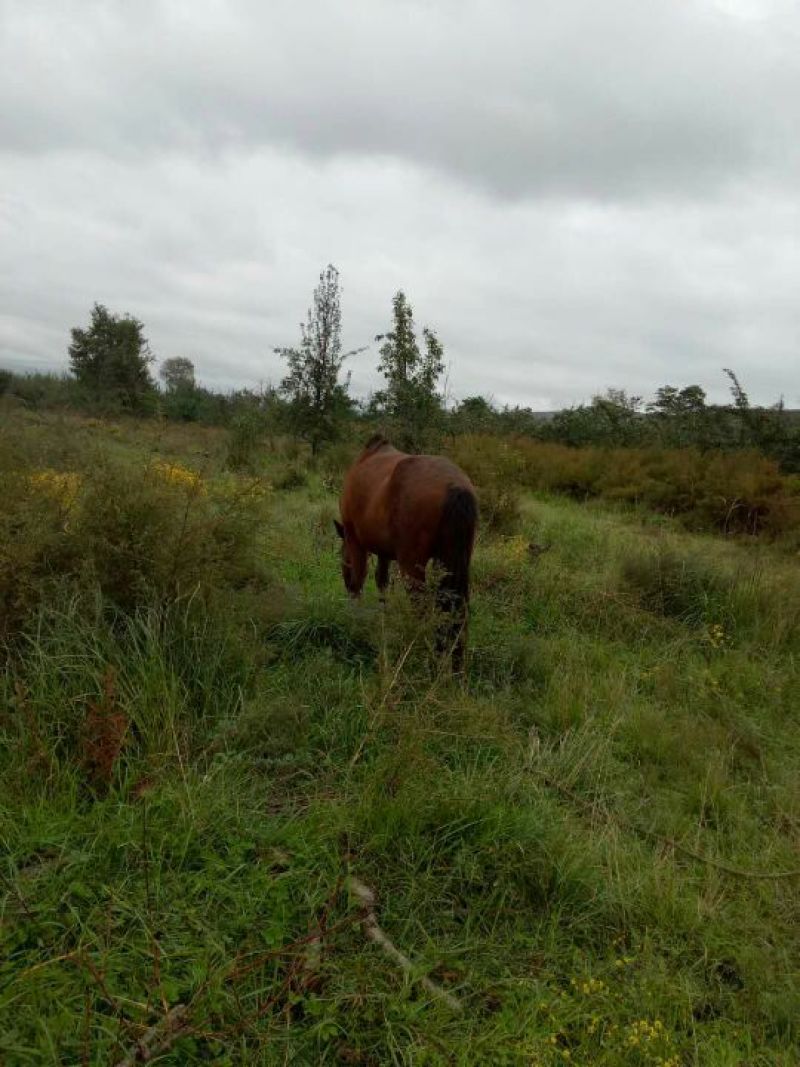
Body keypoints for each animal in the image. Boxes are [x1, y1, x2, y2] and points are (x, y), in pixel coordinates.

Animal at [335, 435, 478, 668]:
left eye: (342, 560)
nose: (344, 585)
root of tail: (454, 486)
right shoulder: (384, 552)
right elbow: (382, 582)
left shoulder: (355, 539)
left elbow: (360, 579)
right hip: (450, 564)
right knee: (456, 612)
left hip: (412, 566)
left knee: (422, 609)